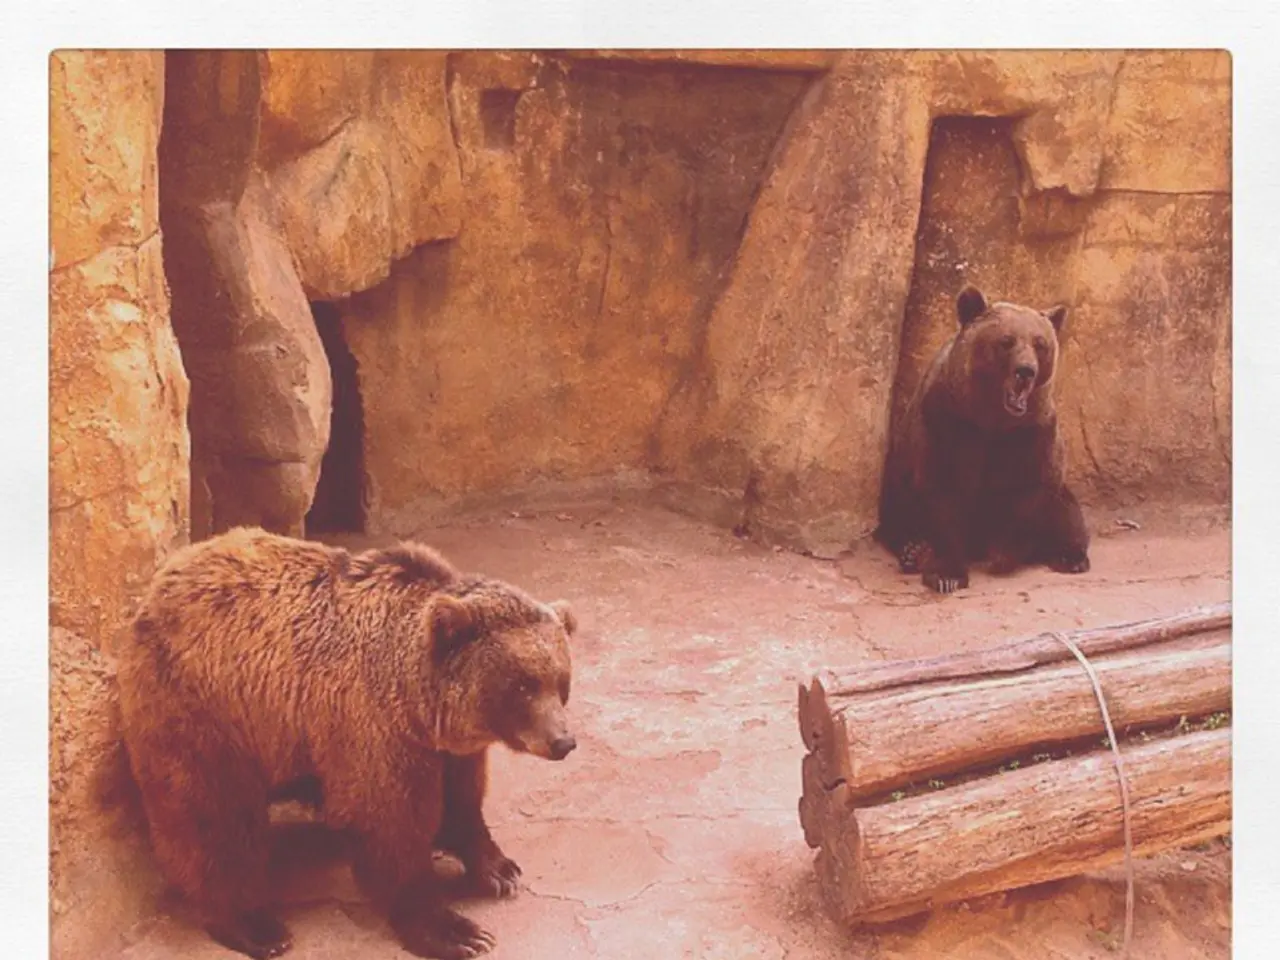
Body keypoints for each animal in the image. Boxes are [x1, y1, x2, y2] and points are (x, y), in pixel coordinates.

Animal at [115, 527, 579, 960]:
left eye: (560, 681)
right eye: (522, 685)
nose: (563, 741)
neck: (417, 701)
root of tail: (164, 579)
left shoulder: (446, 748)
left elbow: (462, 800)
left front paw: (499, 869)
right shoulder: (374, 727)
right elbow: (391, 825)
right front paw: (455, 931)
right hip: (207, 709)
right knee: (215, 814)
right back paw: (255, 926)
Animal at [875, 283, 1091, 594]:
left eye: (1040, 343)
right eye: (1006, 340)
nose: (1026, 370)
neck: (992, 419)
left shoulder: (1033, 431)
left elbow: (1033, 490)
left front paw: (1003, 554)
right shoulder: (946, 421)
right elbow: (943, 492)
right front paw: (946, 575)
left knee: (1067, 512)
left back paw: (1070, 557)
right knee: (897, 509)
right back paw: (914, 549)